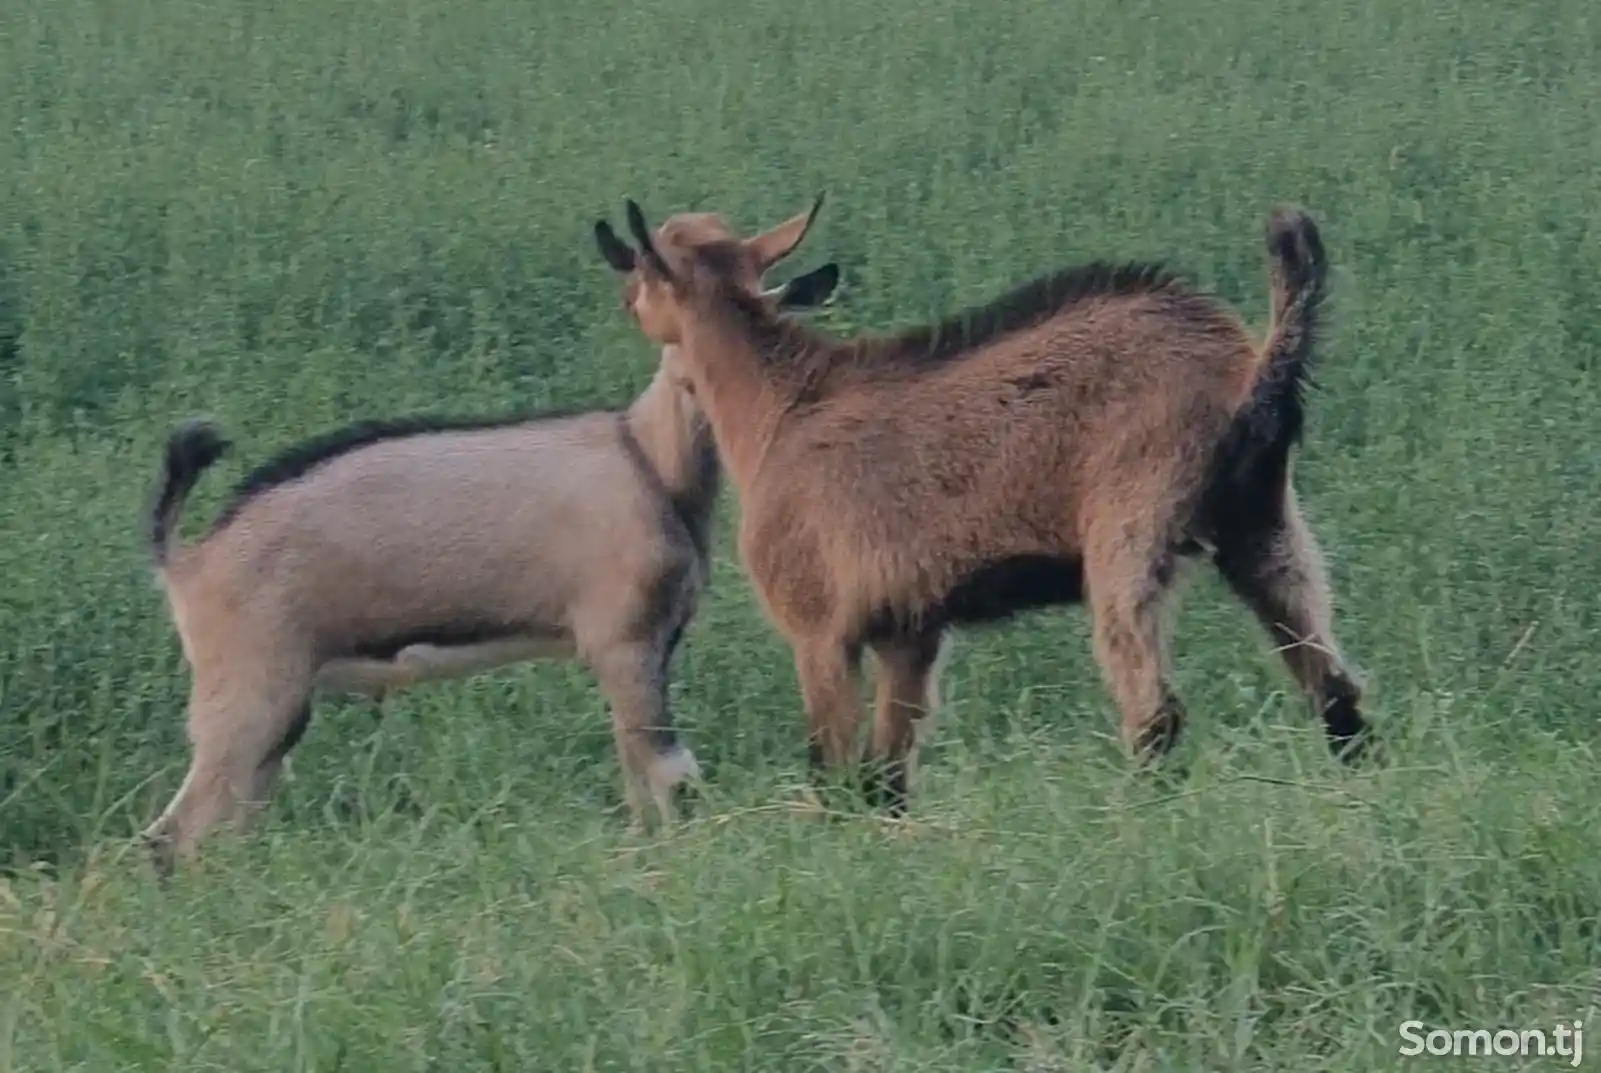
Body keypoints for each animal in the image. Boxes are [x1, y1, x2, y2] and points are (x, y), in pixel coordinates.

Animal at [140, 227, 838, 871]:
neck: (649, 457)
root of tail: (186, 560)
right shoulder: (622, 643)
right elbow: (668, 781)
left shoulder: (654, 646)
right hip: (248, 693)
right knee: (173, 835)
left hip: (276, 711)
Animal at [598, 195, 1376, 816]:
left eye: (643, 269)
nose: (624, 300)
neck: (776, 408)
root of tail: (1247, 369)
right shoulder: (908, 629)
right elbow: (886, 776)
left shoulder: (817, 627)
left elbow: (834, 769)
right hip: (1261, 523)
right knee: (1335, 687)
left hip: (1130, 528)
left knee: (1154, 709)